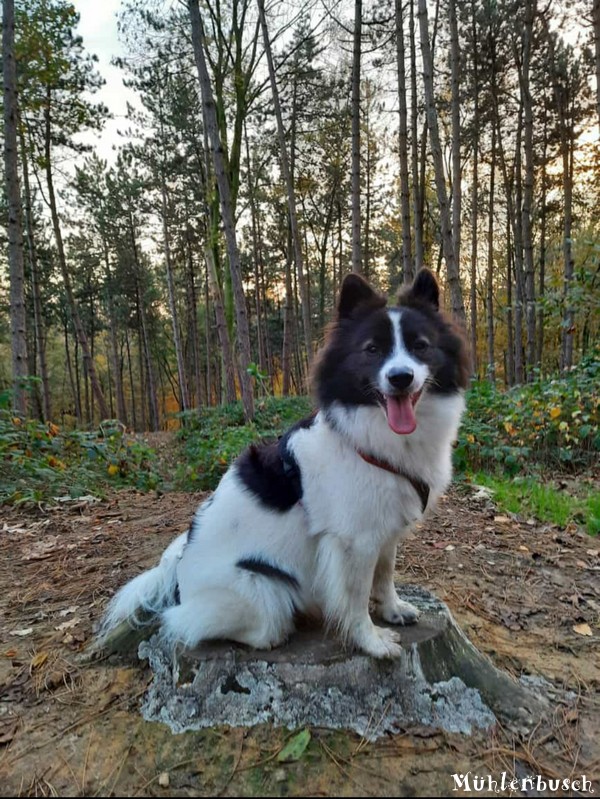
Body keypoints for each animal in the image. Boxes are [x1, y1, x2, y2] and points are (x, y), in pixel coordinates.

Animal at [101, 268, 472, 656]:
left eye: (420, 346)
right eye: (372, 350)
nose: (400, 377)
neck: (374, 439)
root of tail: (178, 576)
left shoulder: (384, 531)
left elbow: (384, 576)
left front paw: (392, 609)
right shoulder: (354, 543)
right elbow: (356, 598)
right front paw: (371, 641)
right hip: (263, 590)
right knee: (201, 624)